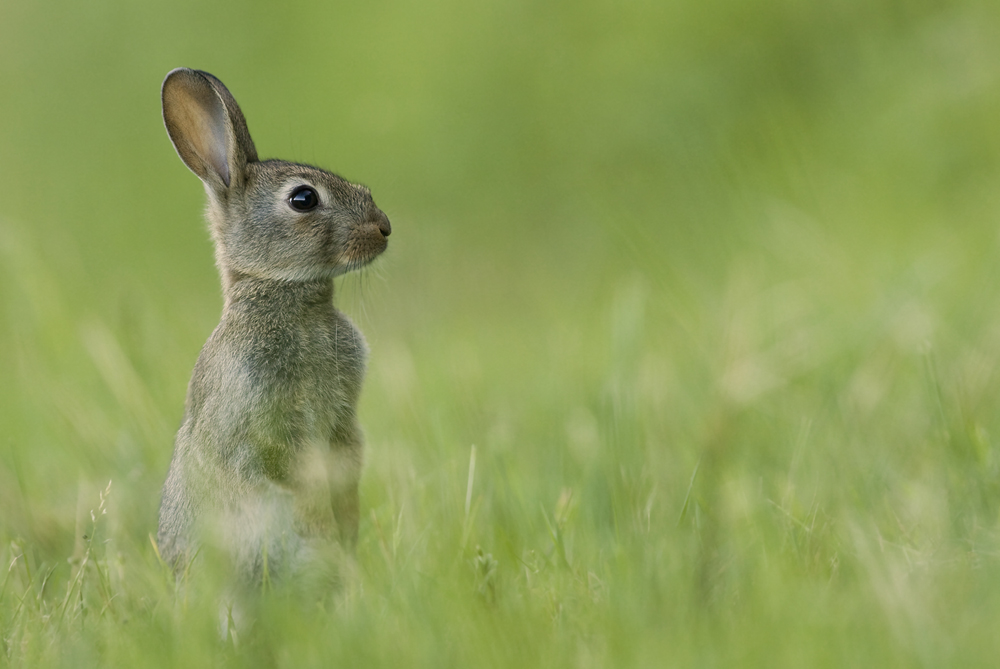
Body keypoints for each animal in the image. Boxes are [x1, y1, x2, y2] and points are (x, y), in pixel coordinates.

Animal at [156, 68, 390, 584]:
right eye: (303, 198)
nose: (384, 227)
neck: (285, 294)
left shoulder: (344, 422)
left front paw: (347, 525)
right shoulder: (260, 423)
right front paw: (326, 527)